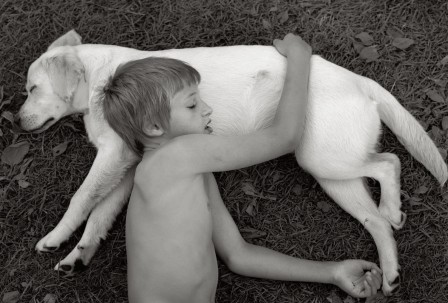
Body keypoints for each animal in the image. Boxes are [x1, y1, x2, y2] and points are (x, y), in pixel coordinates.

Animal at [17, 29, 444, 296]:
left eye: (32, 89)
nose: (16, 122)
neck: (100, 79)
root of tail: (358, 79)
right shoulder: (126, 168)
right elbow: (100, 214)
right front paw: (78, 255)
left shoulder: (112, 156)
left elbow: (81, 200)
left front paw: (55, 238)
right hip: (332, 174)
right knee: (376, 220)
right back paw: (390, 270)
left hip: (322, 159)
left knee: (389, 162)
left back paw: (392, 207)